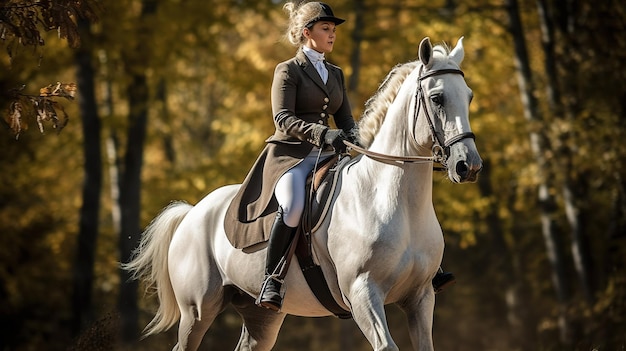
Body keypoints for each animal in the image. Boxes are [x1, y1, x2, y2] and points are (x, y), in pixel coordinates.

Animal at [125, 37, 478, 350]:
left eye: (469, 96)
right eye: (437, 98)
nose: (469, 165)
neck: (395, 202)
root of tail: (193, 212)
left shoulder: (420, 297)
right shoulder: (363, 293)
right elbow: (386, 345)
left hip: (260, 315)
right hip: (197, 311)